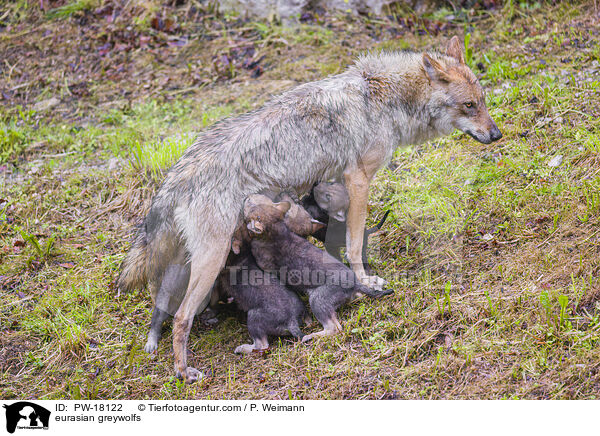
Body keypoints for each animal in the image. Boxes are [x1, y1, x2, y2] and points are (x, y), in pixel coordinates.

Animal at [117, 35, 502, 382]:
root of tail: (179, 170)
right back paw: (185, 372)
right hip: (211, 258)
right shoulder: (357, 179)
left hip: (190, 261)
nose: (497, 134)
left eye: (483, 102)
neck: (384, 98)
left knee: (166, 305)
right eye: (469, 106)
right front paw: (365, 280)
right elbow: (354, 245)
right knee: (181, 318)